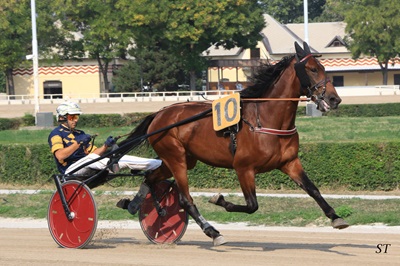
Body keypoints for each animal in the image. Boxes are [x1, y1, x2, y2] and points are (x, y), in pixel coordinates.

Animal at [118, 42, 346, 245]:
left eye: (324, 68)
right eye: (312, 69)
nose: (334, 99)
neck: (265, 120)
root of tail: (159, 114)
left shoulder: (289, 163)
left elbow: (313, 189)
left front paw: (336, 217)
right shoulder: (243, 168)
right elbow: (252, 205)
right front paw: (220, 201)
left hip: (180, 159)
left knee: (150, 178)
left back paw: (134, 205)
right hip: (176, 159)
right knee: (185, 200)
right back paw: (212, 232)